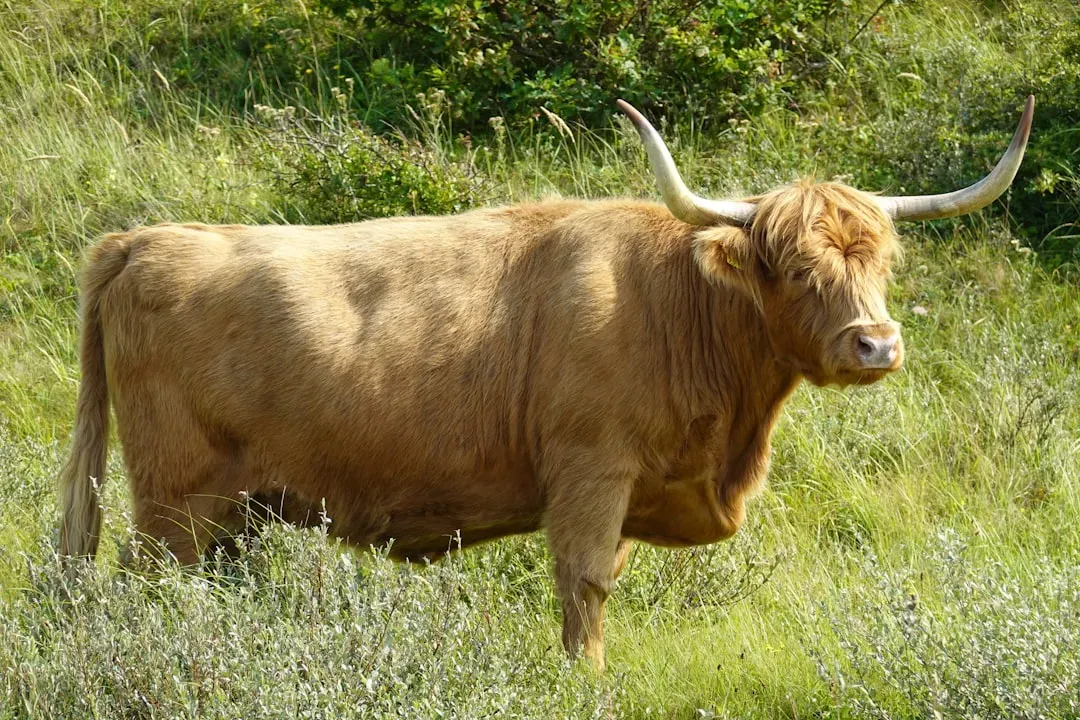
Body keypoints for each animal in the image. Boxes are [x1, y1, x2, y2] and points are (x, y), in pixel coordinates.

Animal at [58, 96, 1034, 669]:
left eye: (882, 262)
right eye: (794, 268)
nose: (876, 345)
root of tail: (141, 240)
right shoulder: (591, 472)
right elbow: (585, 590)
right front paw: (585, 683)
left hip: (236, 511)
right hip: (173, 503)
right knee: (145, 589)